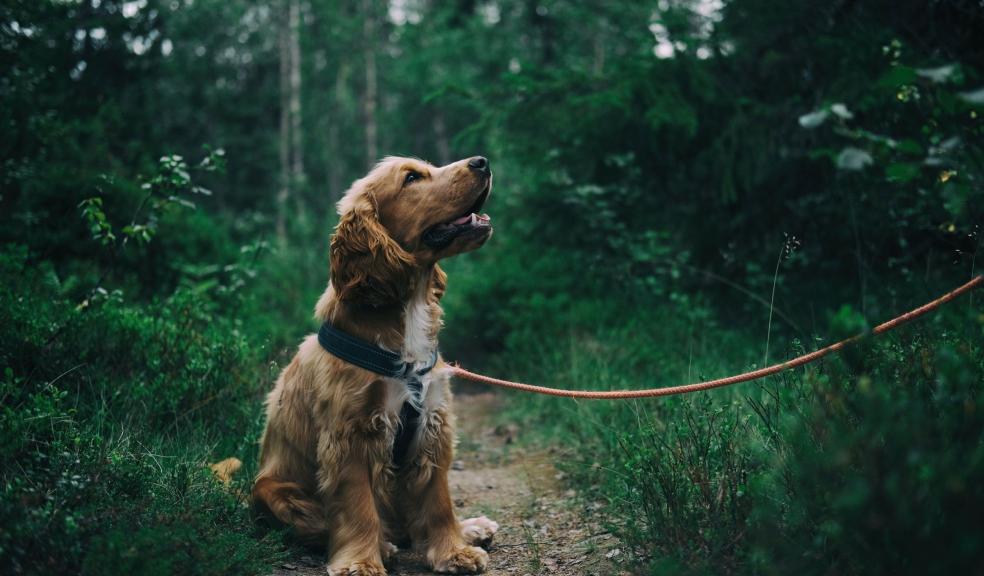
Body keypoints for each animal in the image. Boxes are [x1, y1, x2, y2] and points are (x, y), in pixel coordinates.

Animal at [254, 155, 500, 572]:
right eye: (412, 178)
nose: (482, 161)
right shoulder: (351, 434)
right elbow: (358, 507)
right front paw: (361, 562)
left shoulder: (433, 423)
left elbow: (438, 501)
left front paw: (454, 551)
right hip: (275, 492)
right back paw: (383, 545)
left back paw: (471, 528)